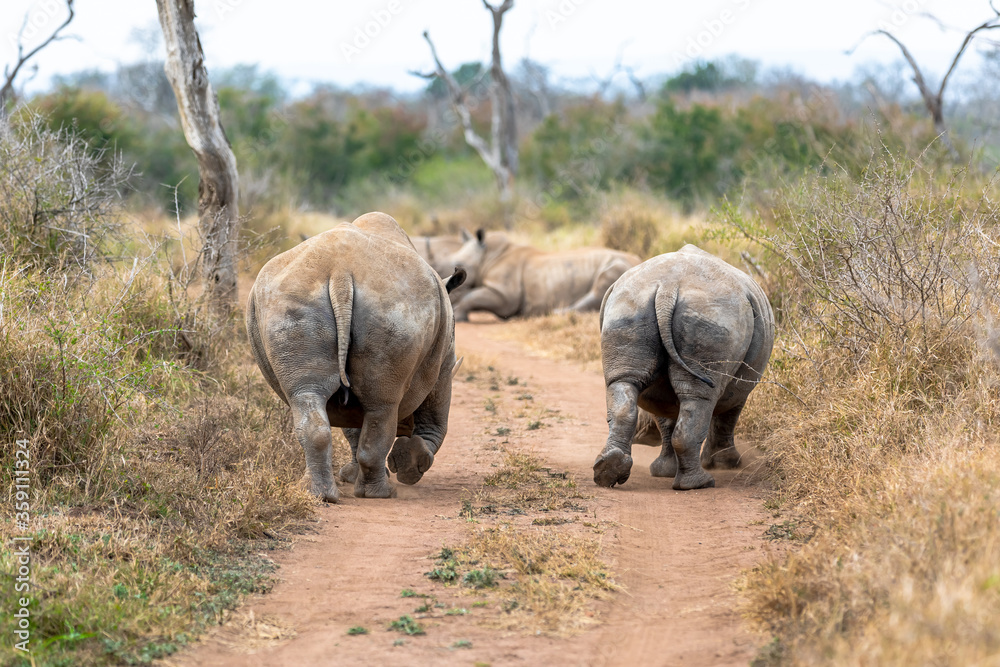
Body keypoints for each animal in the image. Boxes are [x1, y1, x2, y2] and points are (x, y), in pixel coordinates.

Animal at [246, 212, 466, 501]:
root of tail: (340, 272)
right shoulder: (444, 364)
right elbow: (435, 418)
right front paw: (410, 467)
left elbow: (352, 428)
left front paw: (351, 476)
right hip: (395, 305)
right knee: (382, 406)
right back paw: (380, 494)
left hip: (291, 301)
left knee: (308, 395)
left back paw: (318, 494)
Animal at [442, 229, 640, 321]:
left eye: (460, 264)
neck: (486, 255)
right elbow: (472, 294)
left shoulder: (504, 294)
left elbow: (473, 296)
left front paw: (458, 315)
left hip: (620, 266)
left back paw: (554, 313)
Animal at [593, 244, 774, 491]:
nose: (642, 435)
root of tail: (668, 289)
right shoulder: (741, 386)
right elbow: (727, 416)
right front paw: (725, 464)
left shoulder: (658, 394)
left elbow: (666, 419)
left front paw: (662, 472)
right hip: (714, 314)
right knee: (700, 396)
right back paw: (700, 484)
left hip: (629, 305)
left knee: (624, 381)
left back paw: (607, 473)